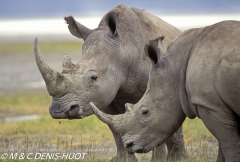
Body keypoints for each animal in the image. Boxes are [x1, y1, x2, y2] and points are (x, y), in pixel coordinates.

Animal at [33, 4, 186, 161]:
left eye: (94, 77)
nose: (59, 111)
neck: (125, 50)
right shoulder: (103, 98)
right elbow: (114, 127)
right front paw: (124, 160)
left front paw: (178, 159)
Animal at [90, 20, 240, 162]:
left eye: (145, 112)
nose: (129, 145)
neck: (176, 70)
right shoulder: (217, 104)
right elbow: (224, 145)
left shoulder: (210, 105)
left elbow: (228, 143)